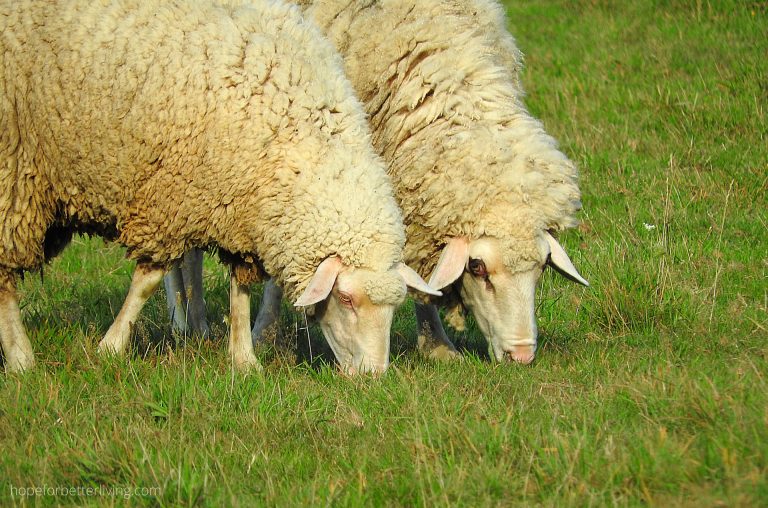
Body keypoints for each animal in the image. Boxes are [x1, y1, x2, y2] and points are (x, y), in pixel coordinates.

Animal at [0, 0, 439, 374]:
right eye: (346, 299)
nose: (373, 376)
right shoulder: (170, 198)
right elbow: (147, 280)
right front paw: (112, 345)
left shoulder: (238, 207)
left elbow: (240, 291)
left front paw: (244, 359)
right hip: (14, 170)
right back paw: (22, 359)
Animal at [169, 0, 588, 364]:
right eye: (477, 267)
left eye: (541, 267)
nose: (522, 355)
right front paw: (265, 335)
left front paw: (436, 344)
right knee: (185, 250)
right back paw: (190, 321)